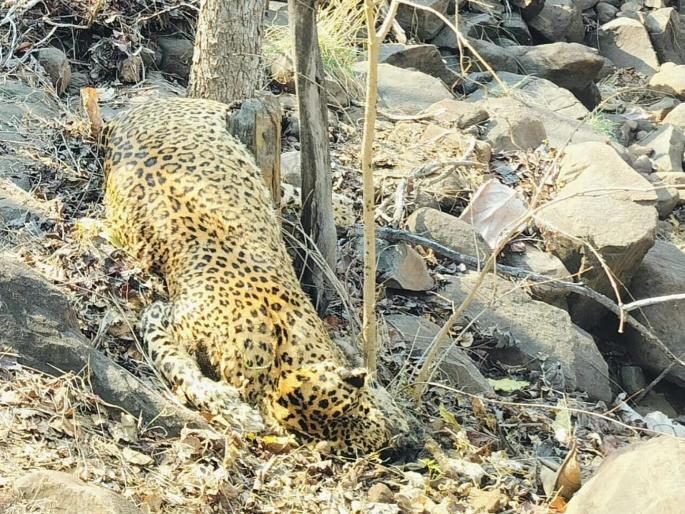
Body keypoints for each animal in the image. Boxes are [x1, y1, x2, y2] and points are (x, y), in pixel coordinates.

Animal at [102, 96, 414, 455]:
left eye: (359, 411)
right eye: (348, 448)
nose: (388, 446)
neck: (277, 366)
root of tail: (138, 104)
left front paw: (396, 414)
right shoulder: (159, 315)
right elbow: (177, 363)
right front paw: (233, 408)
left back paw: (344, 205)